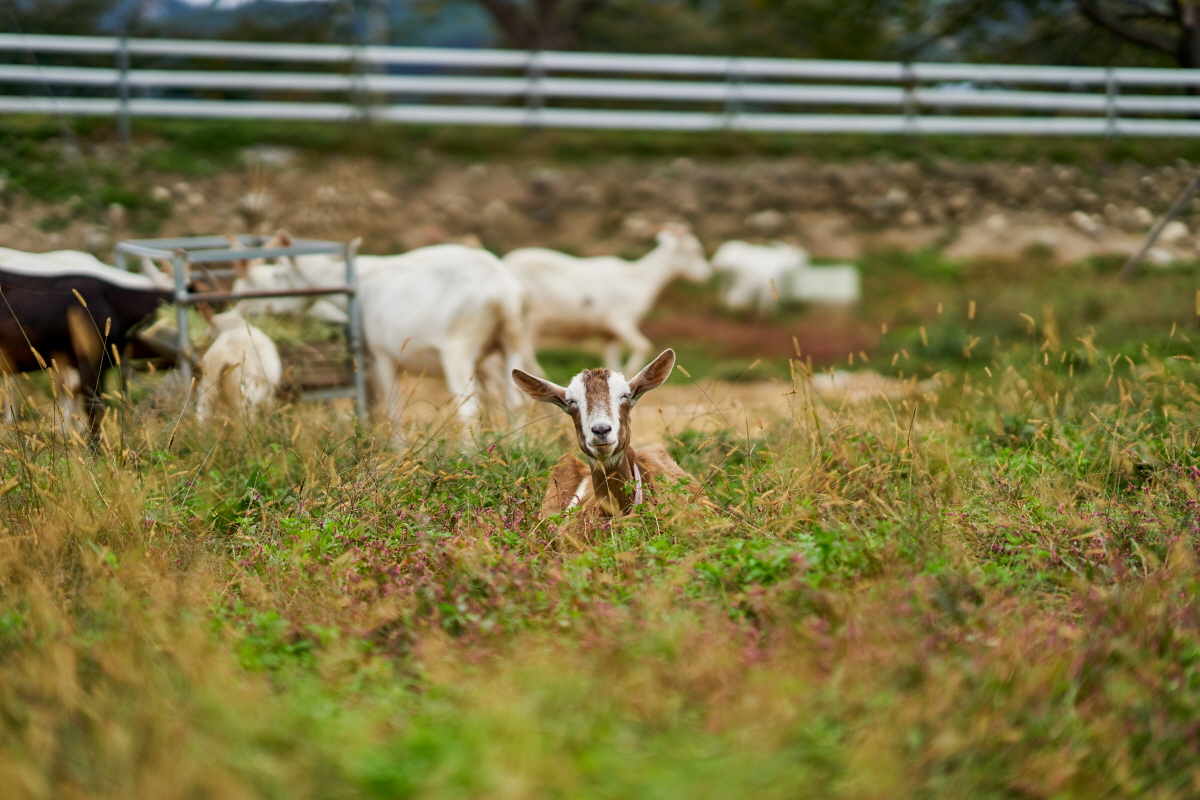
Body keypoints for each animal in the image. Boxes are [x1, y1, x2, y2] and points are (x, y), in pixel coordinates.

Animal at [499, 221, 705, 376]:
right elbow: (645, 346)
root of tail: (505, 263)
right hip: (528, 322)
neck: (638, 277)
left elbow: (612, 364)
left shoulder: (608, 334)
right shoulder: (621, 321)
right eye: (695, 250)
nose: (705, 273)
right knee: (524, 355)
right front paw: (631, 371)